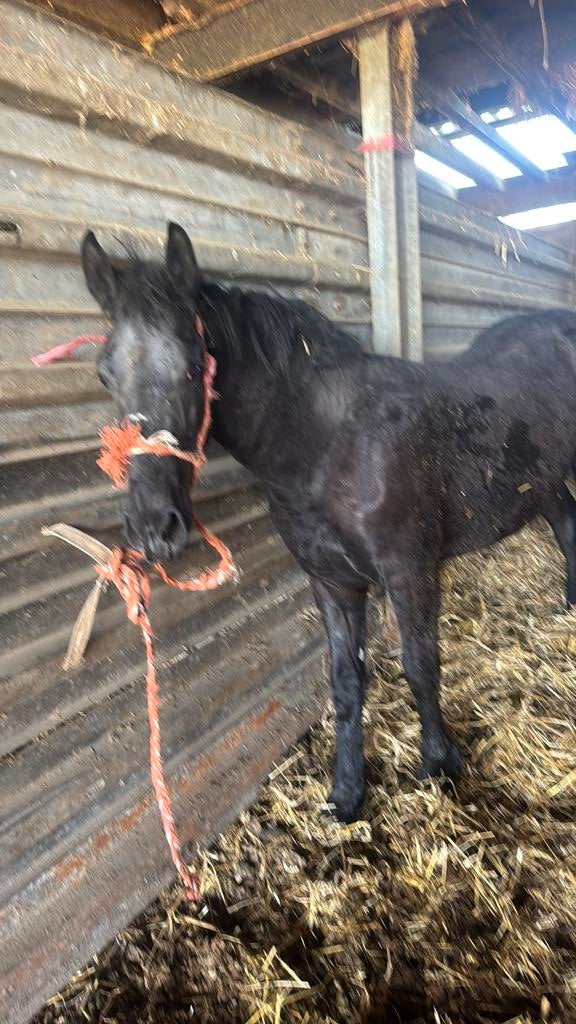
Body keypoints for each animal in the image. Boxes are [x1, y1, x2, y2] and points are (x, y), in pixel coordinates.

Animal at [81, 221, 576, 823]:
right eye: (104, 375)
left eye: (195, 366)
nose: (155, 526)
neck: (328, 442)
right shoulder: (332, 581)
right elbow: (344, 682)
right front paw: (347, 792)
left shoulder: (410, 571)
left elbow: (421, 664)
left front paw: (440, 764)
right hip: (546, 481)